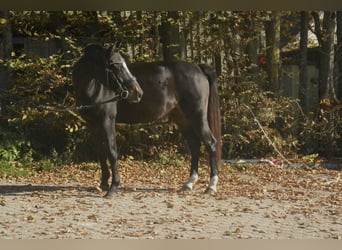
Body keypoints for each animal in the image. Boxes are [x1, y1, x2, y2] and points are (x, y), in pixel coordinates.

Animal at [72, 43, 222, 197]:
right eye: (117, 66)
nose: (137, 93)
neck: (95, 88)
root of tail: (198, 68)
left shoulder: (107, 121)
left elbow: (112, 151)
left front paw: (113, 187)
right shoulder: (92, 124)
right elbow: (101, 152)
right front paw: (103, 183)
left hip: (197, 117)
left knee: (211, 143)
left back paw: (211, 186)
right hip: (182, 119)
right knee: (195, 145)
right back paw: (189, 183)